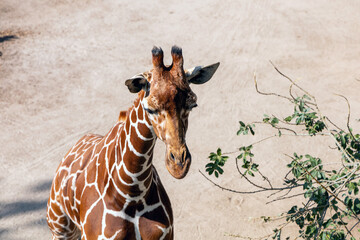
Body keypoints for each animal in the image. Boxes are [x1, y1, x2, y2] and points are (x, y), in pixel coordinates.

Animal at [46, 46, 221, 239]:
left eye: (192, 105)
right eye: (150, 108)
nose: (178, 166)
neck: (132, 194)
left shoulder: (167, 235)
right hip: (61, 229)